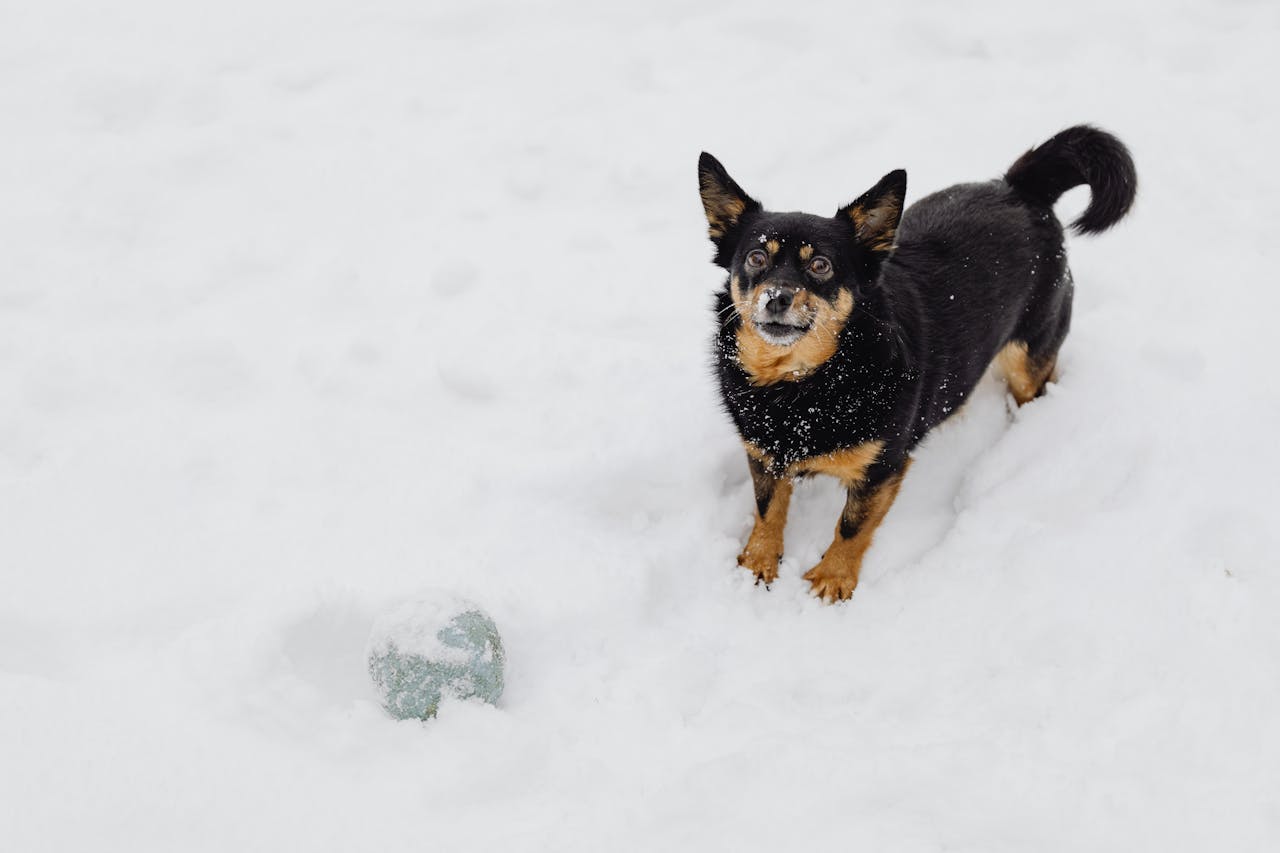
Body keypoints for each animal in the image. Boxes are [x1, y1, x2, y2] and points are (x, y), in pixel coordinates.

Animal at [701, 126, 1141, 601]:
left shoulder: (882, 470)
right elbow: (768, 508)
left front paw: (834, 578)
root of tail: (1019, 188)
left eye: (820, 265)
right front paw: (758, 560)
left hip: (1029, 355)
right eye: (756, 258)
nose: (776, 297)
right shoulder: (764, 453)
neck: (804, 383)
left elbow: (852, 526)